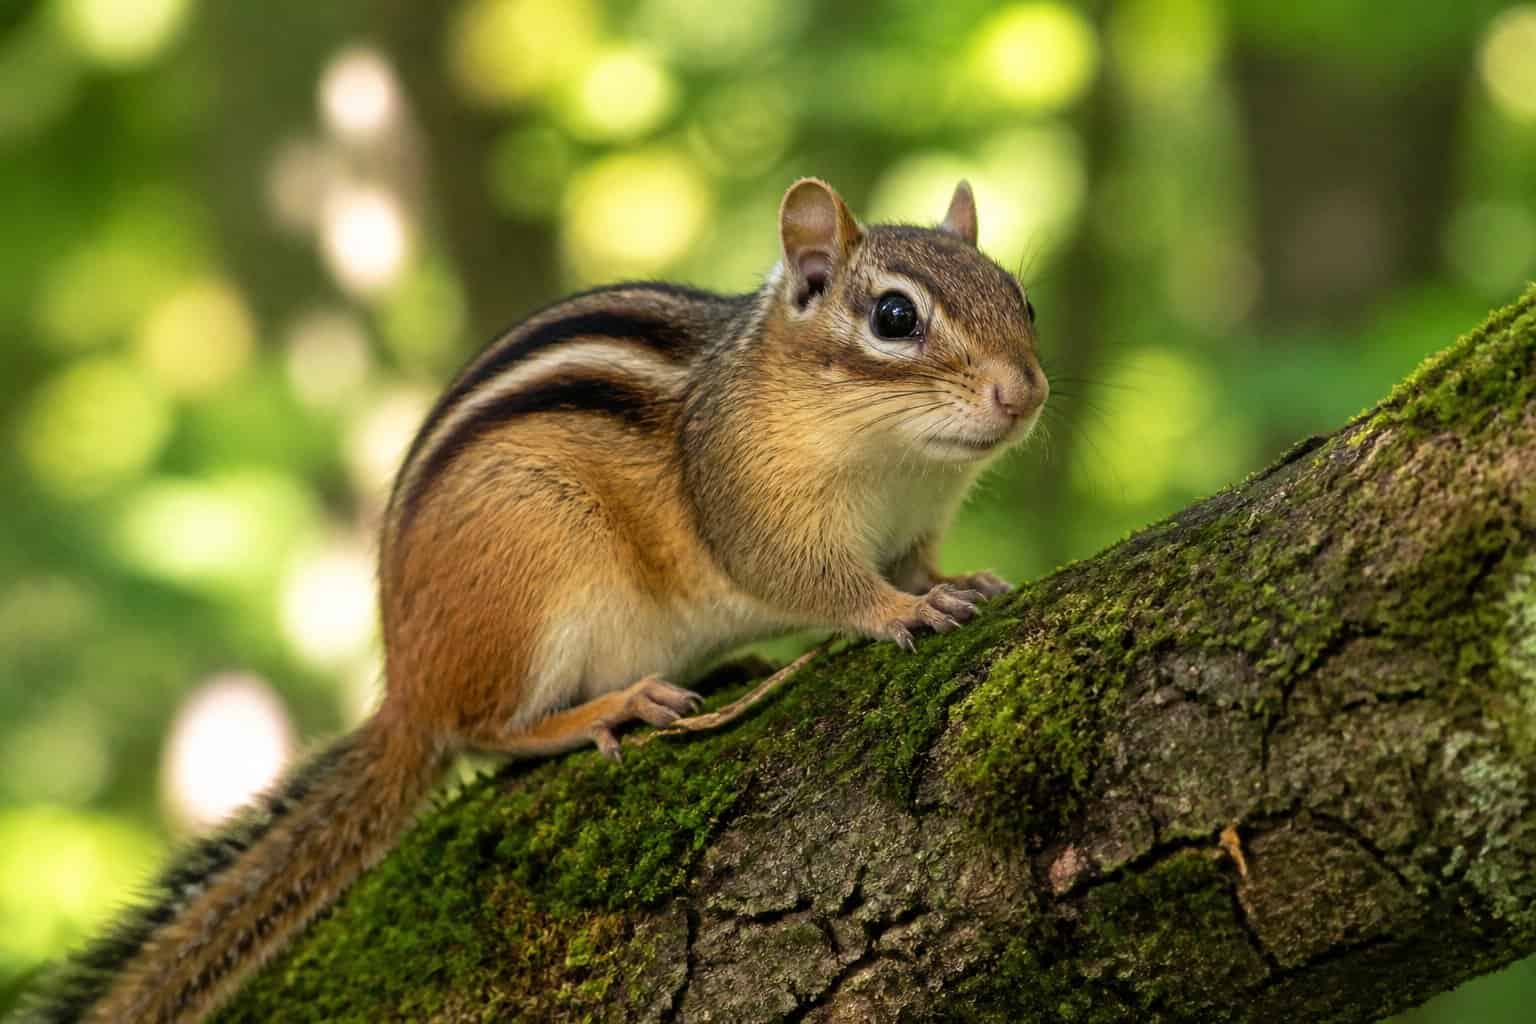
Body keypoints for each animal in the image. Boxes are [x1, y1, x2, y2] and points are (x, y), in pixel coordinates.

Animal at [28, 177, 1047, 1023]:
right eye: (893, 316)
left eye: (1021, 297)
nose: (1023, 394)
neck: (897, 463)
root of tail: (409, 687)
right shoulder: (753, 507)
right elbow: (817, 582)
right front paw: (898, 613)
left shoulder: (913, 525)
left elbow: (917, 563)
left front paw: (955, 583)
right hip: (536, 581)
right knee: (489, 729)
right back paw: (612, 706)